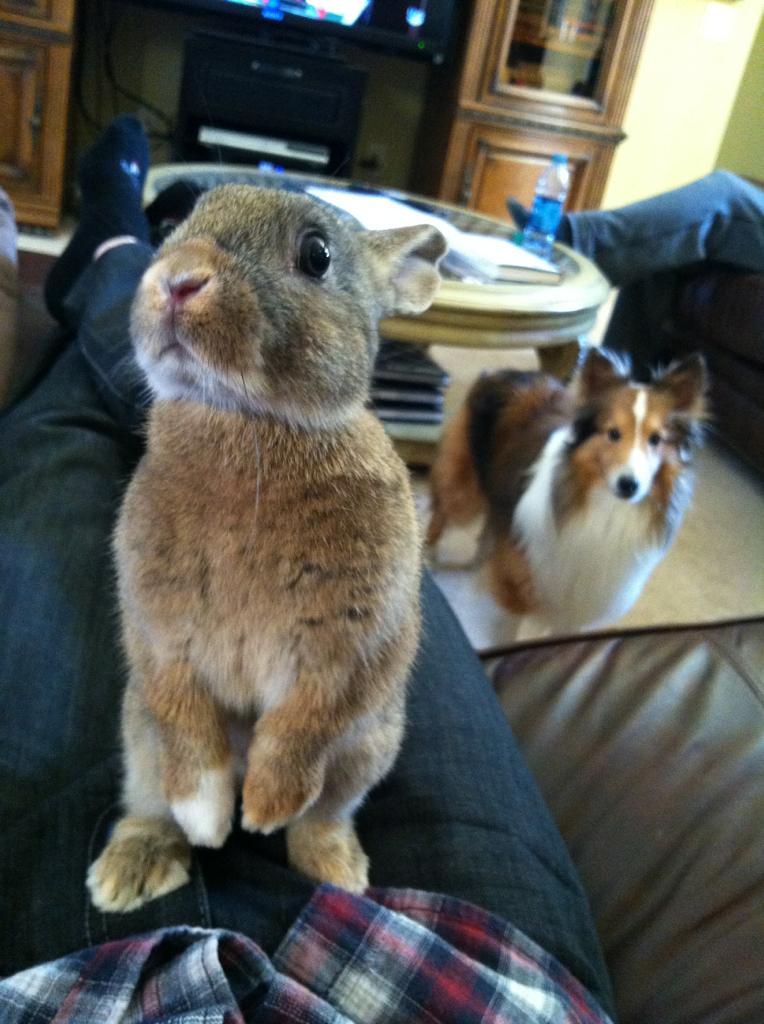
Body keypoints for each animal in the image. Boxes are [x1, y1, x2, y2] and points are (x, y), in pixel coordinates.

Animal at [87, 185, 447, 913]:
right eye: (178, 224)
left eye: (317, 255)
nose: (179, 279)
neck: (245, 421)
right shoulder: (160, 636)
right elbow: (189, 732)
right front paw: (209, 818)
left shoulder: (347, 648)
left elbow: (303, 730)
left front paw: (262, 810)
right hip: (139, 734)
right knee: (149, 798)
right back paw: (132, 870)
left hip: (370, 744)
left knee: (326, 810)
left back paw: (336, 871)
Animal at [427, 348, 707, 635]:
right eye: (613, 433)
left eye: (656, 439)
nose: (629, 485)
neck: (604, 508)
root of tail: (503, 372)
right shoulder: (532, 591)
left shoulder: (572, 611)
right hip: (462, 488)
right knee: (441, 512)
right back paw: (430, 557)